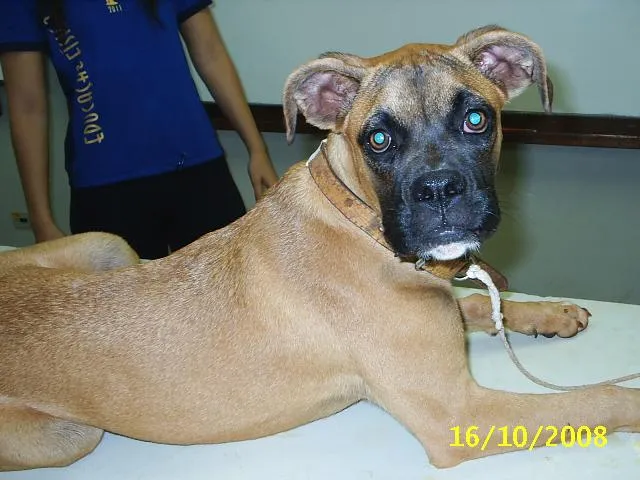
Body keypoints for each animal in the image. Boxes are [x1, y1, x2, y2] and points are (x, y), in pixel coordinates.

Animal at [1, 25, 636, 472]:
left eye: (477, 120)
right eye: (377, 139)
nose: (439, 192)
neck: (356, 219)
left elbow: (481, 303)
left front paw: (550, 314)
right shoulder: (461, 413)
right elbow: (596, 398)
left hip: (109, 247)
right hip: (73, 434)